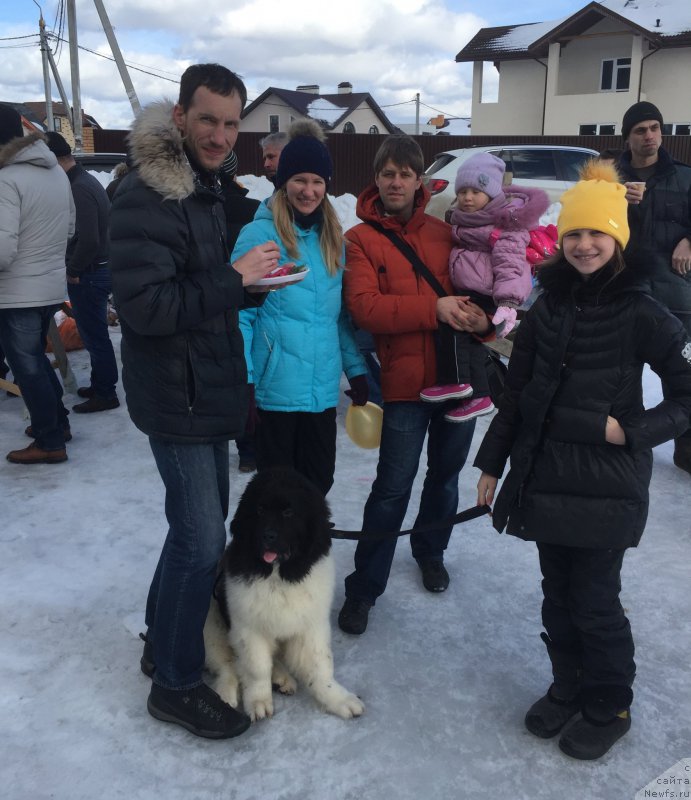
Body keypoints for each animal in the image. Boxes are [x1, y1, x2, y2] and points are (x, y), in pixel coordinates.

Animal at [203, 466, 364, 720]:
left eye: (288, 512)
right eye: (259, 510)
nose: (266, 536)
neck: (278, 576)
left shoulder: (309, 626)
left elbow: (320, 666)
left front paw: (338, 699)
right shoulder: (248, 628)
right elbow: (256, 668)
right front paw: (258, 700)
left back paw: (281, 678)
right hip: (211, 621)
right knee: (227, 664)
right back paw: (226, 693)